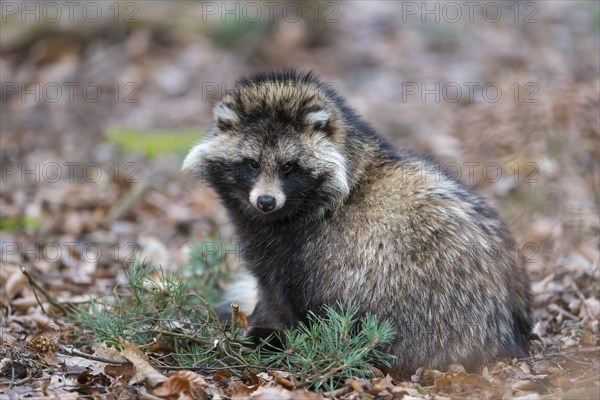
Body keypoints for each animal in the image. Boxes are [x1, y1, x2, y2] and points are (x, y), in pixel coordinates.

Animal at [182, 70, 528, 374]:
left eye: (288, 167)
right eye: (252, 164)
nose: (266, 202)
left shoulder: (301, 247)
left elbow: (280, 293)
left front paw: (263, 326)